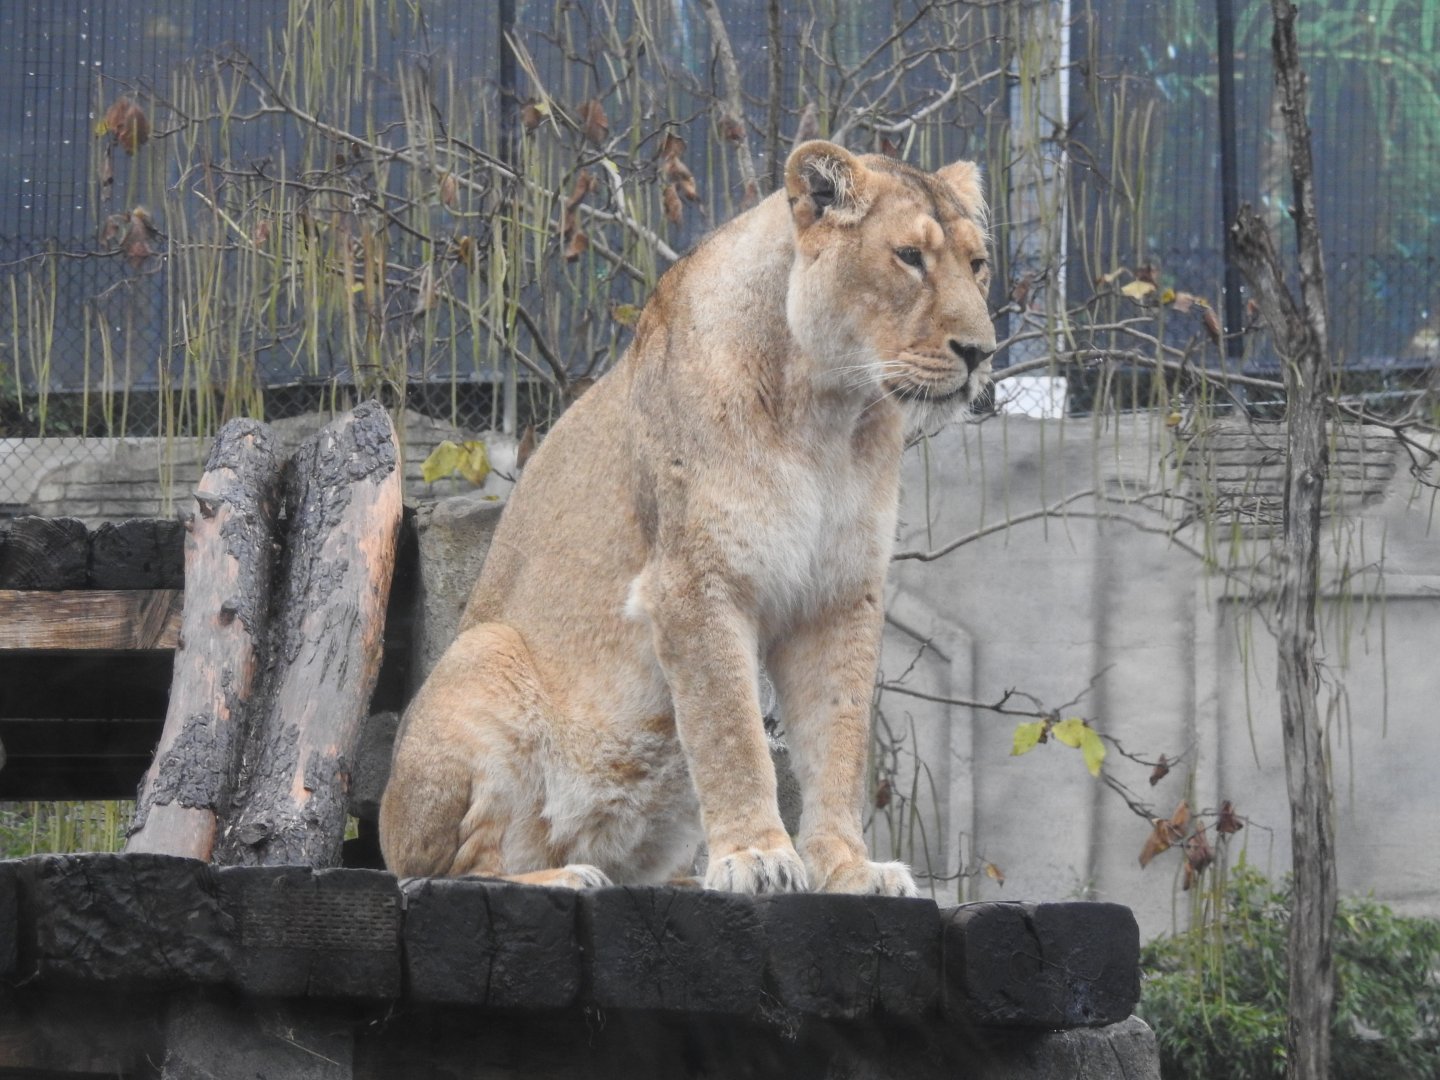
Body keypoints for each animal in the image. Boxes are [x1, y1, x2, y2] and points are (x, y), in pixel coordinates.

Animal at [380, 140, 995, 895]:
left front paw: (849, 867)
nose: (981, 353)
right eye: (909, 256)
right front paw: (758, 856)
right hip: (483, 657)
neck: (829, 413)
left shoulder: (840, 595)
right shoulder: (693, 581)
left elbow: (839, 738)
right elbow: (731, 730)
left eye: (977, 264)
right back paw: (565, 876)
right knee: (448, 871)